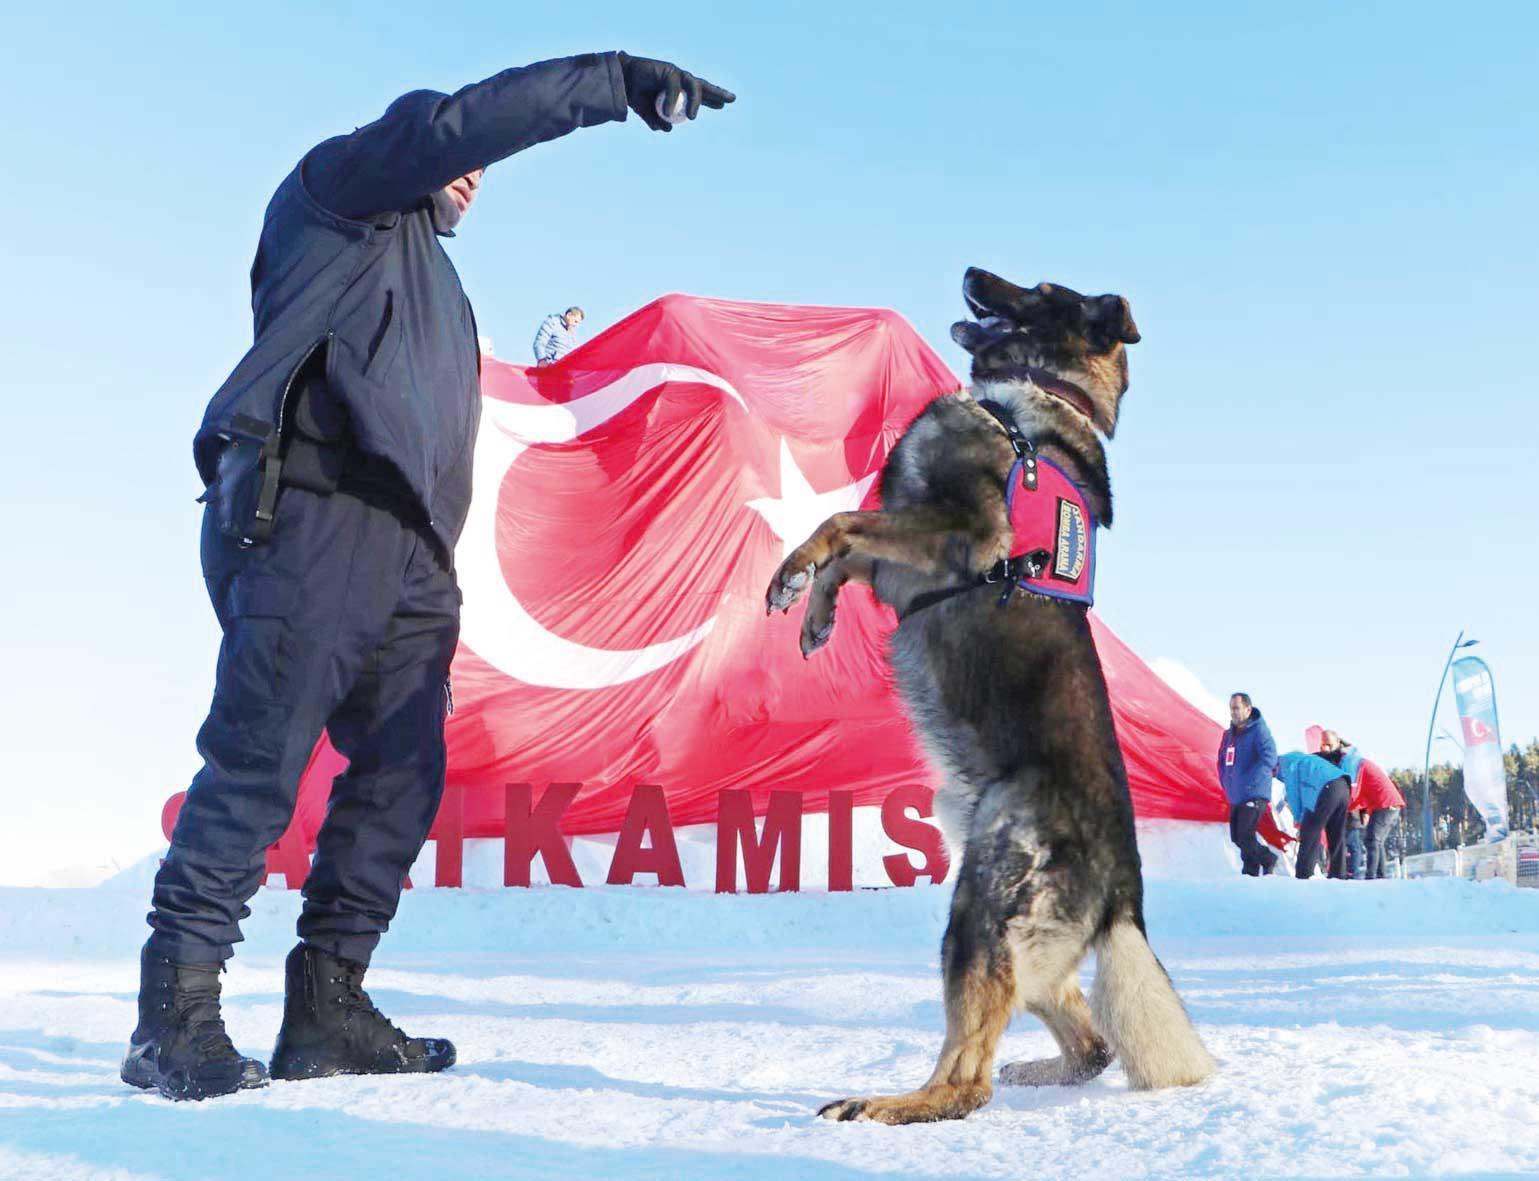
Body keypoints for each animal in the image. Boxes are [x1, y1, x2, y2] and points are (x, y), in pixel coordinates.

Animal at [763, 270, 1206, 1127]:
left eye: (1039, 289)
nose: (972, 272)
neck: (1029, 402)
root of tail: (1124, 892)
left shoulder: (957, 532)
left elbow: (840, 518)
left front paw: (792, 574)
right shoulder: (902, 559)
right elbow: (849, 546)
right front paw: (815, 610)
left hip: (981, 905)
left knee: (969, 1081)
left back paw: (888, 1102)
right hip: (1010, 932)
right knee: (1086, 1044)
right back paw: (1035, 1069)